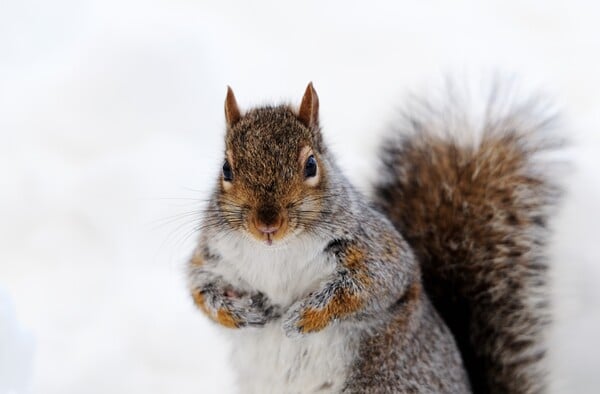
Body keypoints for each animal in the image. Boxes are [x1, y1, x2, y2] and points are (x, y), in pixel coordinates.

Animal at [185, 81, 560, 392]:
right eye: (226, 169)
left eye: (311, 165)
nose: (267, 225)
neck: (277, 251)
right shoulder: (212, 254)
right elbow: (200, 288)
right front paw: (237, 313)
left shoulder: (375, 250)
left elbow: (366, 285)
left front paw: (306, 316)